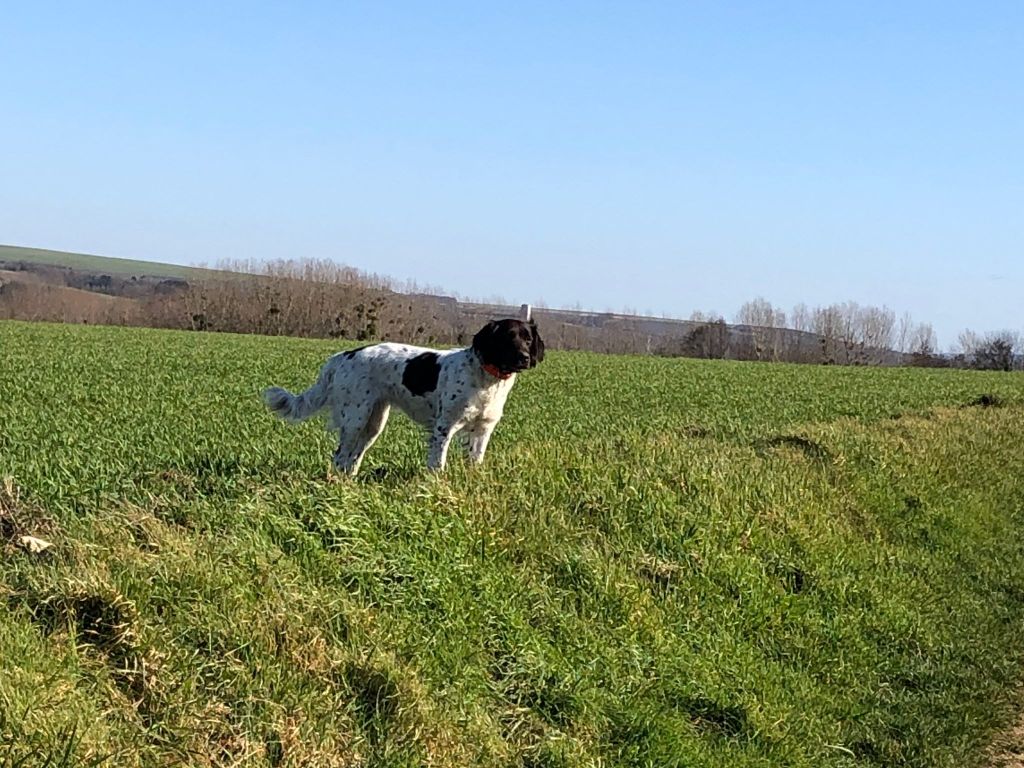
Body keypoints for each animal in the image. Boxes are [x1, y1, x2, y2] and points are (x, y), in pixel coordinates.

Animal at [264, 319, 544, 475]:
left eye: (528, 339)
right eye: (507, 338)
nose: (524, 358)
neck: (486, 378)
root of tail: (343, 355)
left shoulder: (483, 430)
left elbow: (475, 461)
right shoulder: (444, 427)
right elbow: (438, 464)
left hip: (374, 424)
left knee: (352, 460)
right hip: (355, 418)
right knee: (340, 456)